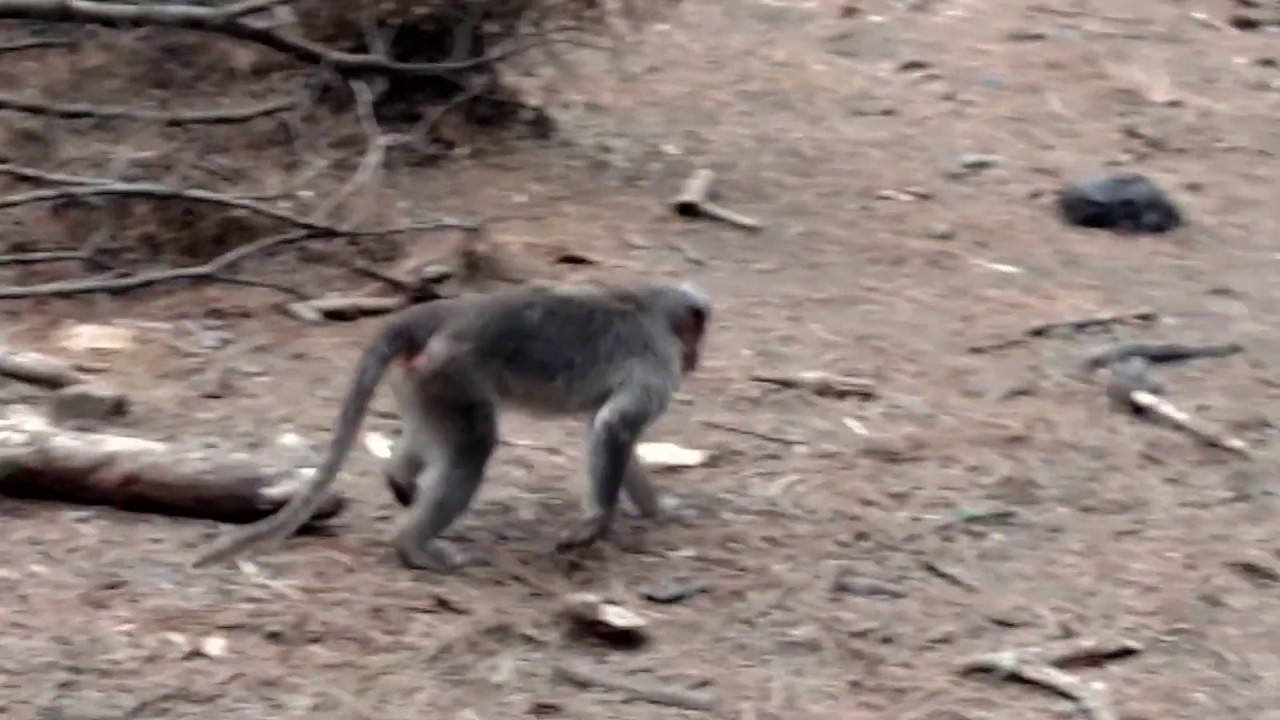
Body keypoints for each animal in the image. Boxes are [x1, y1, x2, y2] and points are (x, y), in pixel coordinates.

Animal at [190, 279, 711, 572]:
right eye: (696, 337)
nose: (697, 359)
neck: (650, 307)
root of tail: (449, 310)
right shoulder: (658, 363)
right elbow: (615, 427)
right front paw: (593, 527)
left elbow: (603, 427)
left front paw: (655, 510)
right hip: (451, 372)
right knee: (474, 445)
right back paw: (411, 547)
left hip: (421, 379)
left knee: (441, 439)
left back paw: (400, 478)